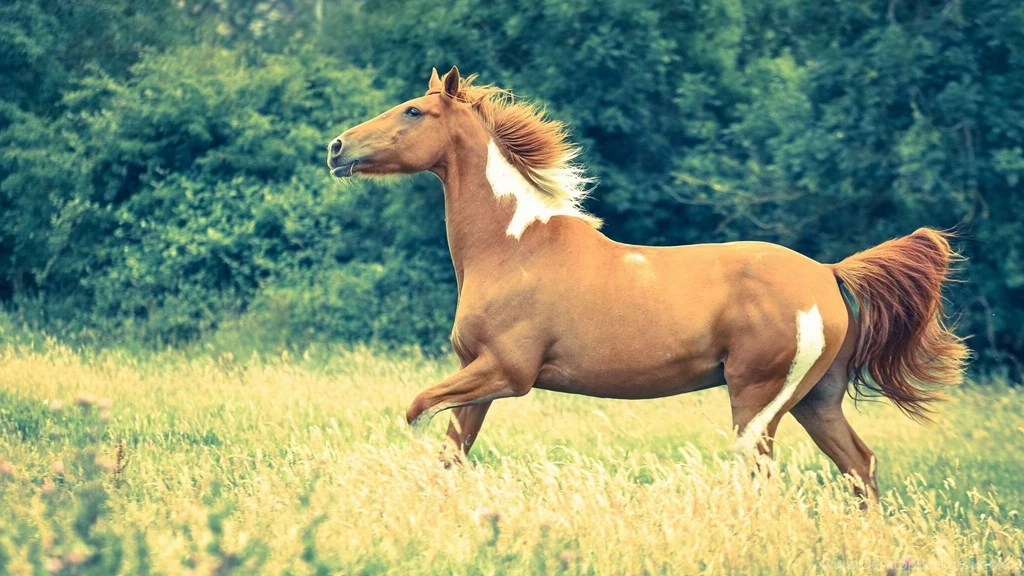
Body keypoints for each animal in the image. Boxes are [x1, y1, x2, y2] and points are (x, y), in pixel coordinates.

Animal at [327, 66, 968, 500]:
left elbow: (415, 410)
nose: (336, 148)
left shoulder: (508, 373)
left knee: (763, 473)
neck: (513, 247)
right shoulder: (478, 378)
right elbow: (450, 453)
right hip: (815, 400)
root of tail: (829, 276)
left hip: (757, 399)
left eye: (414, 111)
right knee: (860, 466)